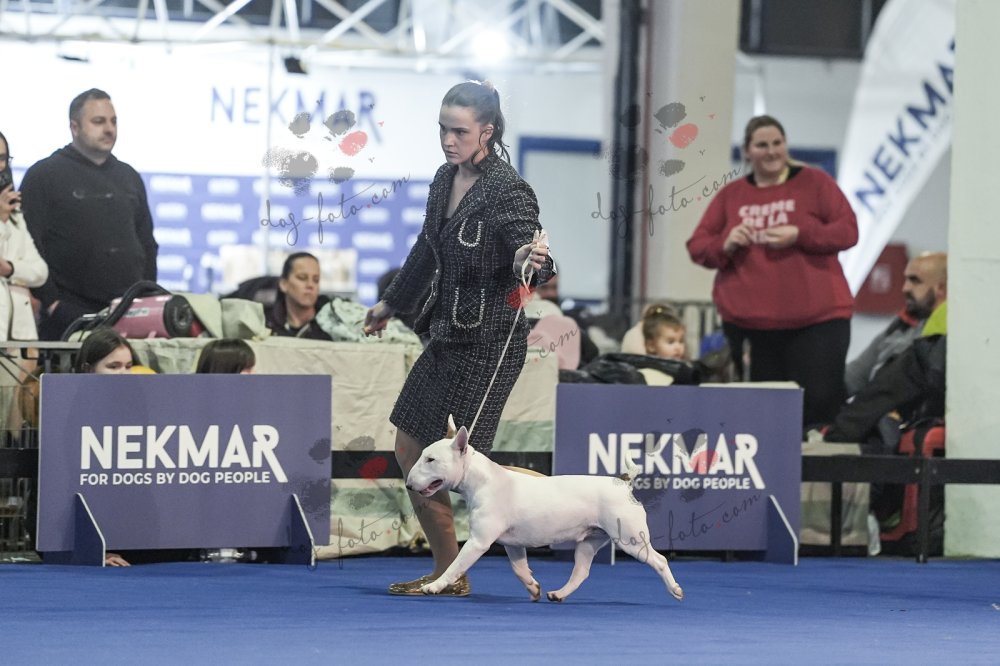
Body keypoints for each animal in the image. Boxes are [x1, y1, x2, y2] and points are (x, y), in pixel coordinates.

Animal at [405, 416, 683, 602]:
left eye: (431, 460)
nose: (408, 484)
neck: (482, 480)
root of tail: (624, 483)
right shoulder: (513, 544)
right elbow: (519, 569)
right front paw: (532, 587)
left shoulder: (478, 542)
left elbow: (455, 566)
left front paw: (435, 586)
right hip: (589, 542)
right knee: (581, 571)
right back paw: (558, 594)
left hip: (630, 539)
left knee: (659, 560)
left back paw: (675, 590)